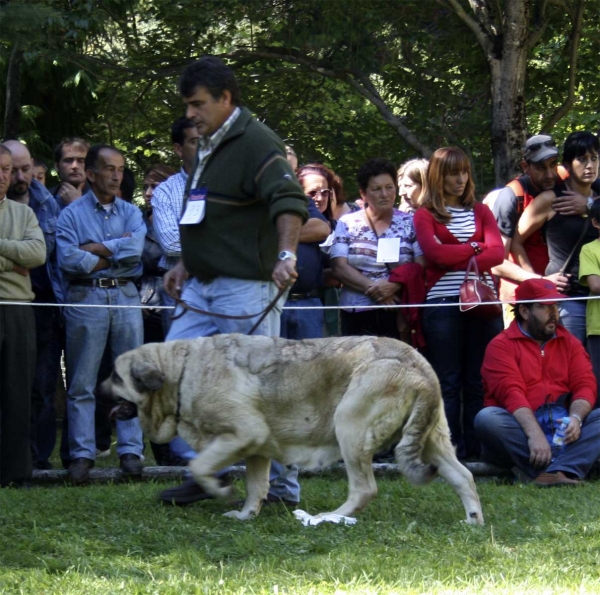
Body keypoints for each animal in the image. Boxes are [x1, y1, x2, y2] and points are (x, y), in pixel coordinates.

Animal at [105, 336, 482, 528]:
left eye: (115, 376)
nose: (98, 387)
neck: (180, 371)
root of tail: (417, 363)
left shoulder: (242, 434)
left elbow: (199, 466)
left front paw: (218, 488)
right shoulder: (256, 447)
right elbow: (256, 485)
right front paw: (246, 514)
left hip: (350, 426)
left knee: (365, 489)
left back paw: (328, 518)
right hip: (432, 439)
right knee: (463, 476)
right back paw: (473, 521)